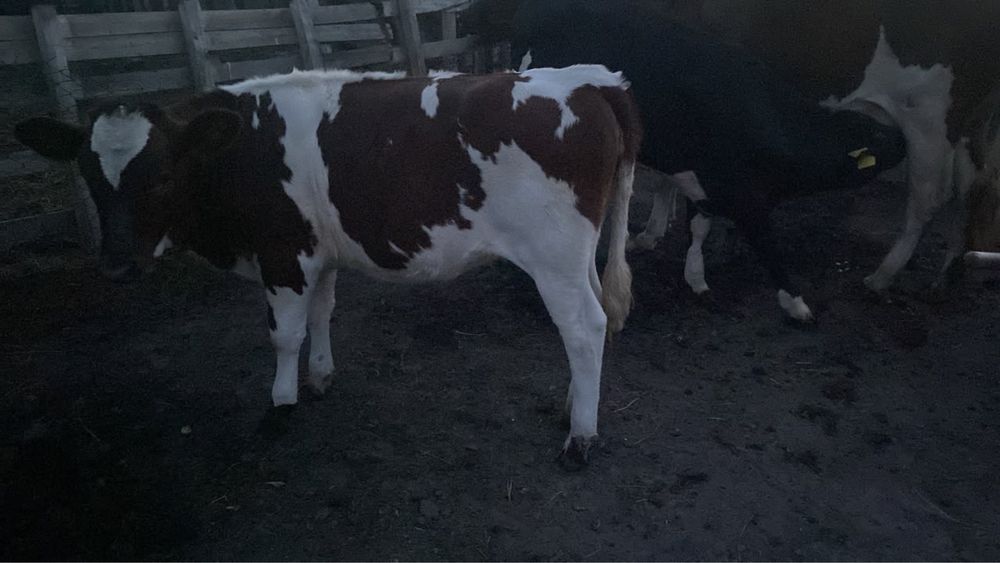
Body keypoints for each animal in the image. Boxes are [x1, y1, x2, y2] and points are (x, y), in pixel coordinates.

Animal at [14, 66, 641, 464]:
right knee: (596, 316)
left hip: (552, 256)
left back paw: (581, 439)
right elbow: (322, 312)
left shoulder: (283, 253)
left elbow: (283, 333)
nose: (118, 265)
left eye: (163, 174)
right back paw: (570, 410)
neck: (241, 149)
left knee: (584, 328)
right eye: (88, 175)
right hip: (574, 256)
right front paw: (318, 377)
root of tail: (590, 80)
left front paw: (281, 403)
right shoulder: (318, 252)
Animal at [470, 0, 908, 321]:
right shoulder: (744, 195)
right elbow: (769, 244)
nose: (904, 139)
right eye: (878, 137)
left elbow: (698, 227)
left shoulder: (705, 181)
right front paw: (797, 303)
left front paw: (696, 277)